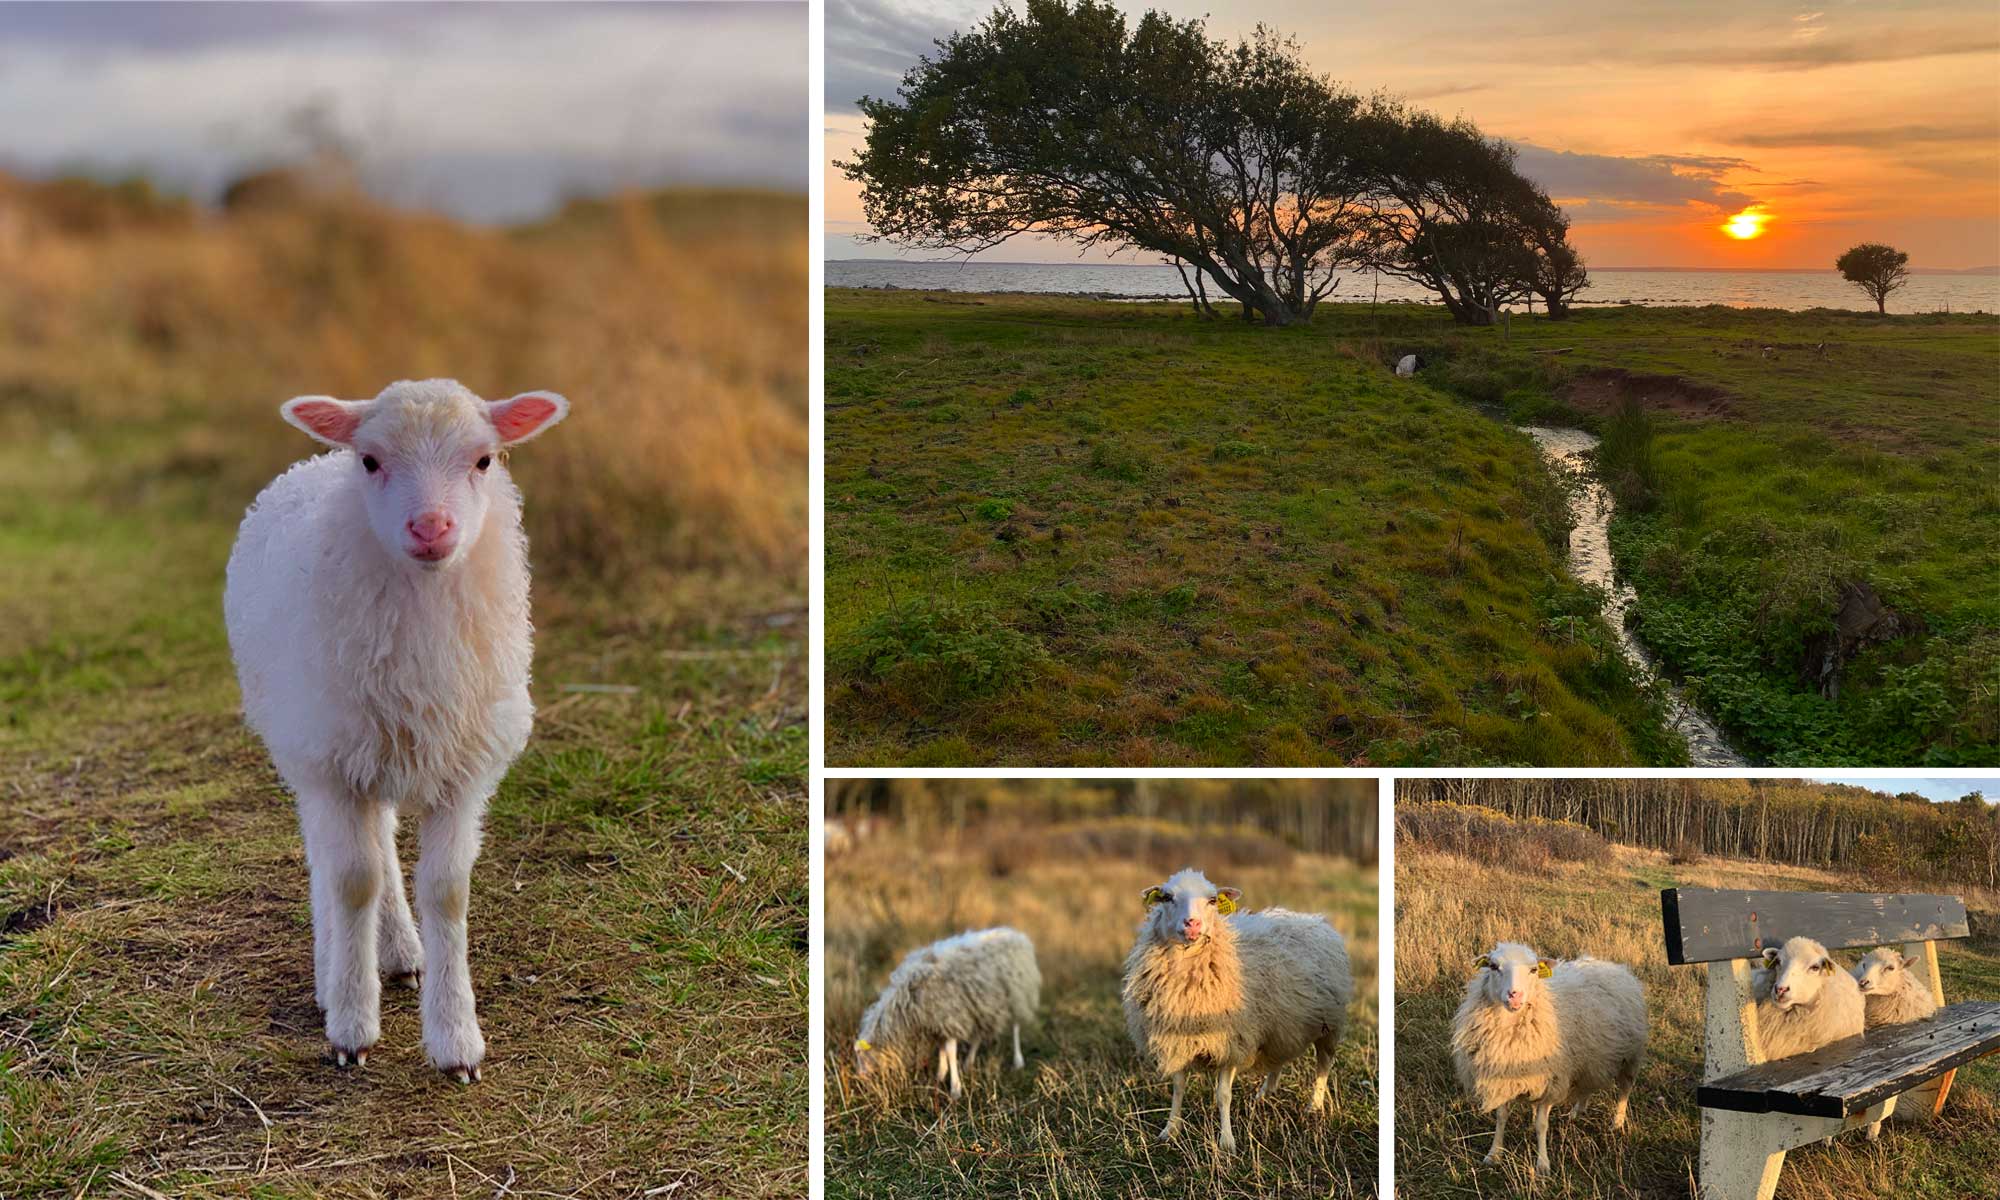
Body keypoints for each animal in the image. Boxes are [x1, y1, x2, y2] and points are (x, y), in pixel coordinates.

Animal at [223, 379, 568, 1083]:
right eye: (372, 461)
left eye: (484, 460)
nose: (431, 527)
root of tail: (312, 462)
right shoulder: (332, 766)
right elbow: (353, 883)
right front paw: (352, 1027)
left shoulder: (464, 772)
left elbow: (447, 892)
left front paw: (457, 1040)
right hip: (313, 745)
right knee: (333, 860)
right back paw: (333, 973)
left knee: (381, 843)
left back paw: (403, 954)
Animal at [853, 927, 1040, 1098]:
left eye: (861, 1055)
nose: (860, 1077)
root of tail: (1016, 933)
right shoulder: (939, 1020)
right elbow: (942, 1047)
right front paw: (940, 1074)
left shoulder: (948, 1016)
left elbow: (949, 1051)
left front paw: (955, 1089)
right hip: (983, 1004)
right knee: (979, 1033)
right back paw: (968, 1062)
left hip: (1017, 993)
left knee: (1016, 1026)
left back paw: (1018, 1061)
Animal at [1122, 868, 1352, 1154]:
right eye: (1167, 897)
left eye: (1212, 900)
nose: (1192, 924)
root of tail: (1314, 919)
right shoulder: (1177, 1039)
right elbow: (1178, 1088)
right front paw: (1170, 1131)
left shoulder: (1232, 1041)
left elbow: (1223, 1095)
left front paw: (1226, 1142)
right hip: (1281, 1022)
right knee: (1279, 1057)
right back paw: (1265, 1093)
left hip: (1329, 1025)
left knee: (1323, 1064)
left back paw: (1314, 1106)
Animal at [1452, 941, 1646, 1177]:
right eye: (1493, 966)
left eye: (1534, 970)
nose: (1515, 995)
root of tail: (1613, 965)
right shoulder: (1502, 1077)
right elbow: (1501, 1118)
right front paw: (1494, 1154)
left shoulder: (1551, 1080)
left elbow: (1541, 1125)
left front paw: (1542, 1164)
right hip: (1590, 1056)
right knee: (1587, 1085)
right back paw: (1577, 1111)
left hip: (1629, 1056)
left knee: (1625, 1088)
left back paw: (1617, 1122)